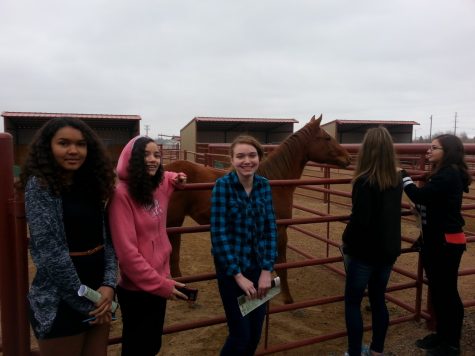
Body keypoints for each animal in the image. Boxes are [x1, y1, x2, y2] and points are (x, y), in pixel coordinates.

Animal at [165, 116, 352, 304]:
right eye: (327, 138)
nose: (348, 158)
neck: (275, 181)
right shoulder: (279, 230)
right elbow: (282, 266)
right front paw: (288, 300)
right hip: (174, 222)